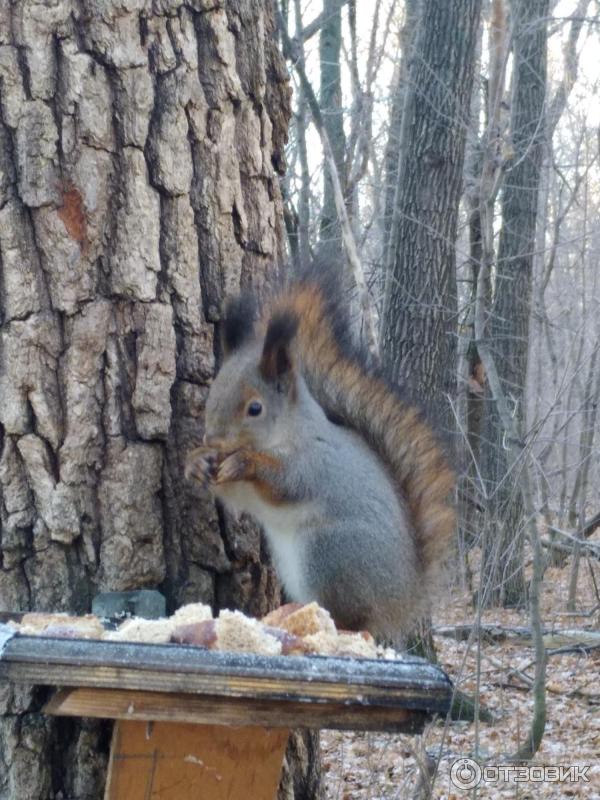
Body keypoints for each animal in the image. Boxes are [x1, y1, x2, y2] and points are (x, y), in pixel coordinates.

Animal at [188, 278, 454, 640]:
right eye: (212, 394)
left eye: (255, 408)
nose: (213, 440)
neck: (286, 433)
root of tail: (403, 601)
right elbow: (236, 496)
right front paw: (197, 462)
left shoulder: (315, 463)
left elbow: (284, 482)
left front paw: (245, 462)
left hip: (328, 554)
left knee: (353, 619)